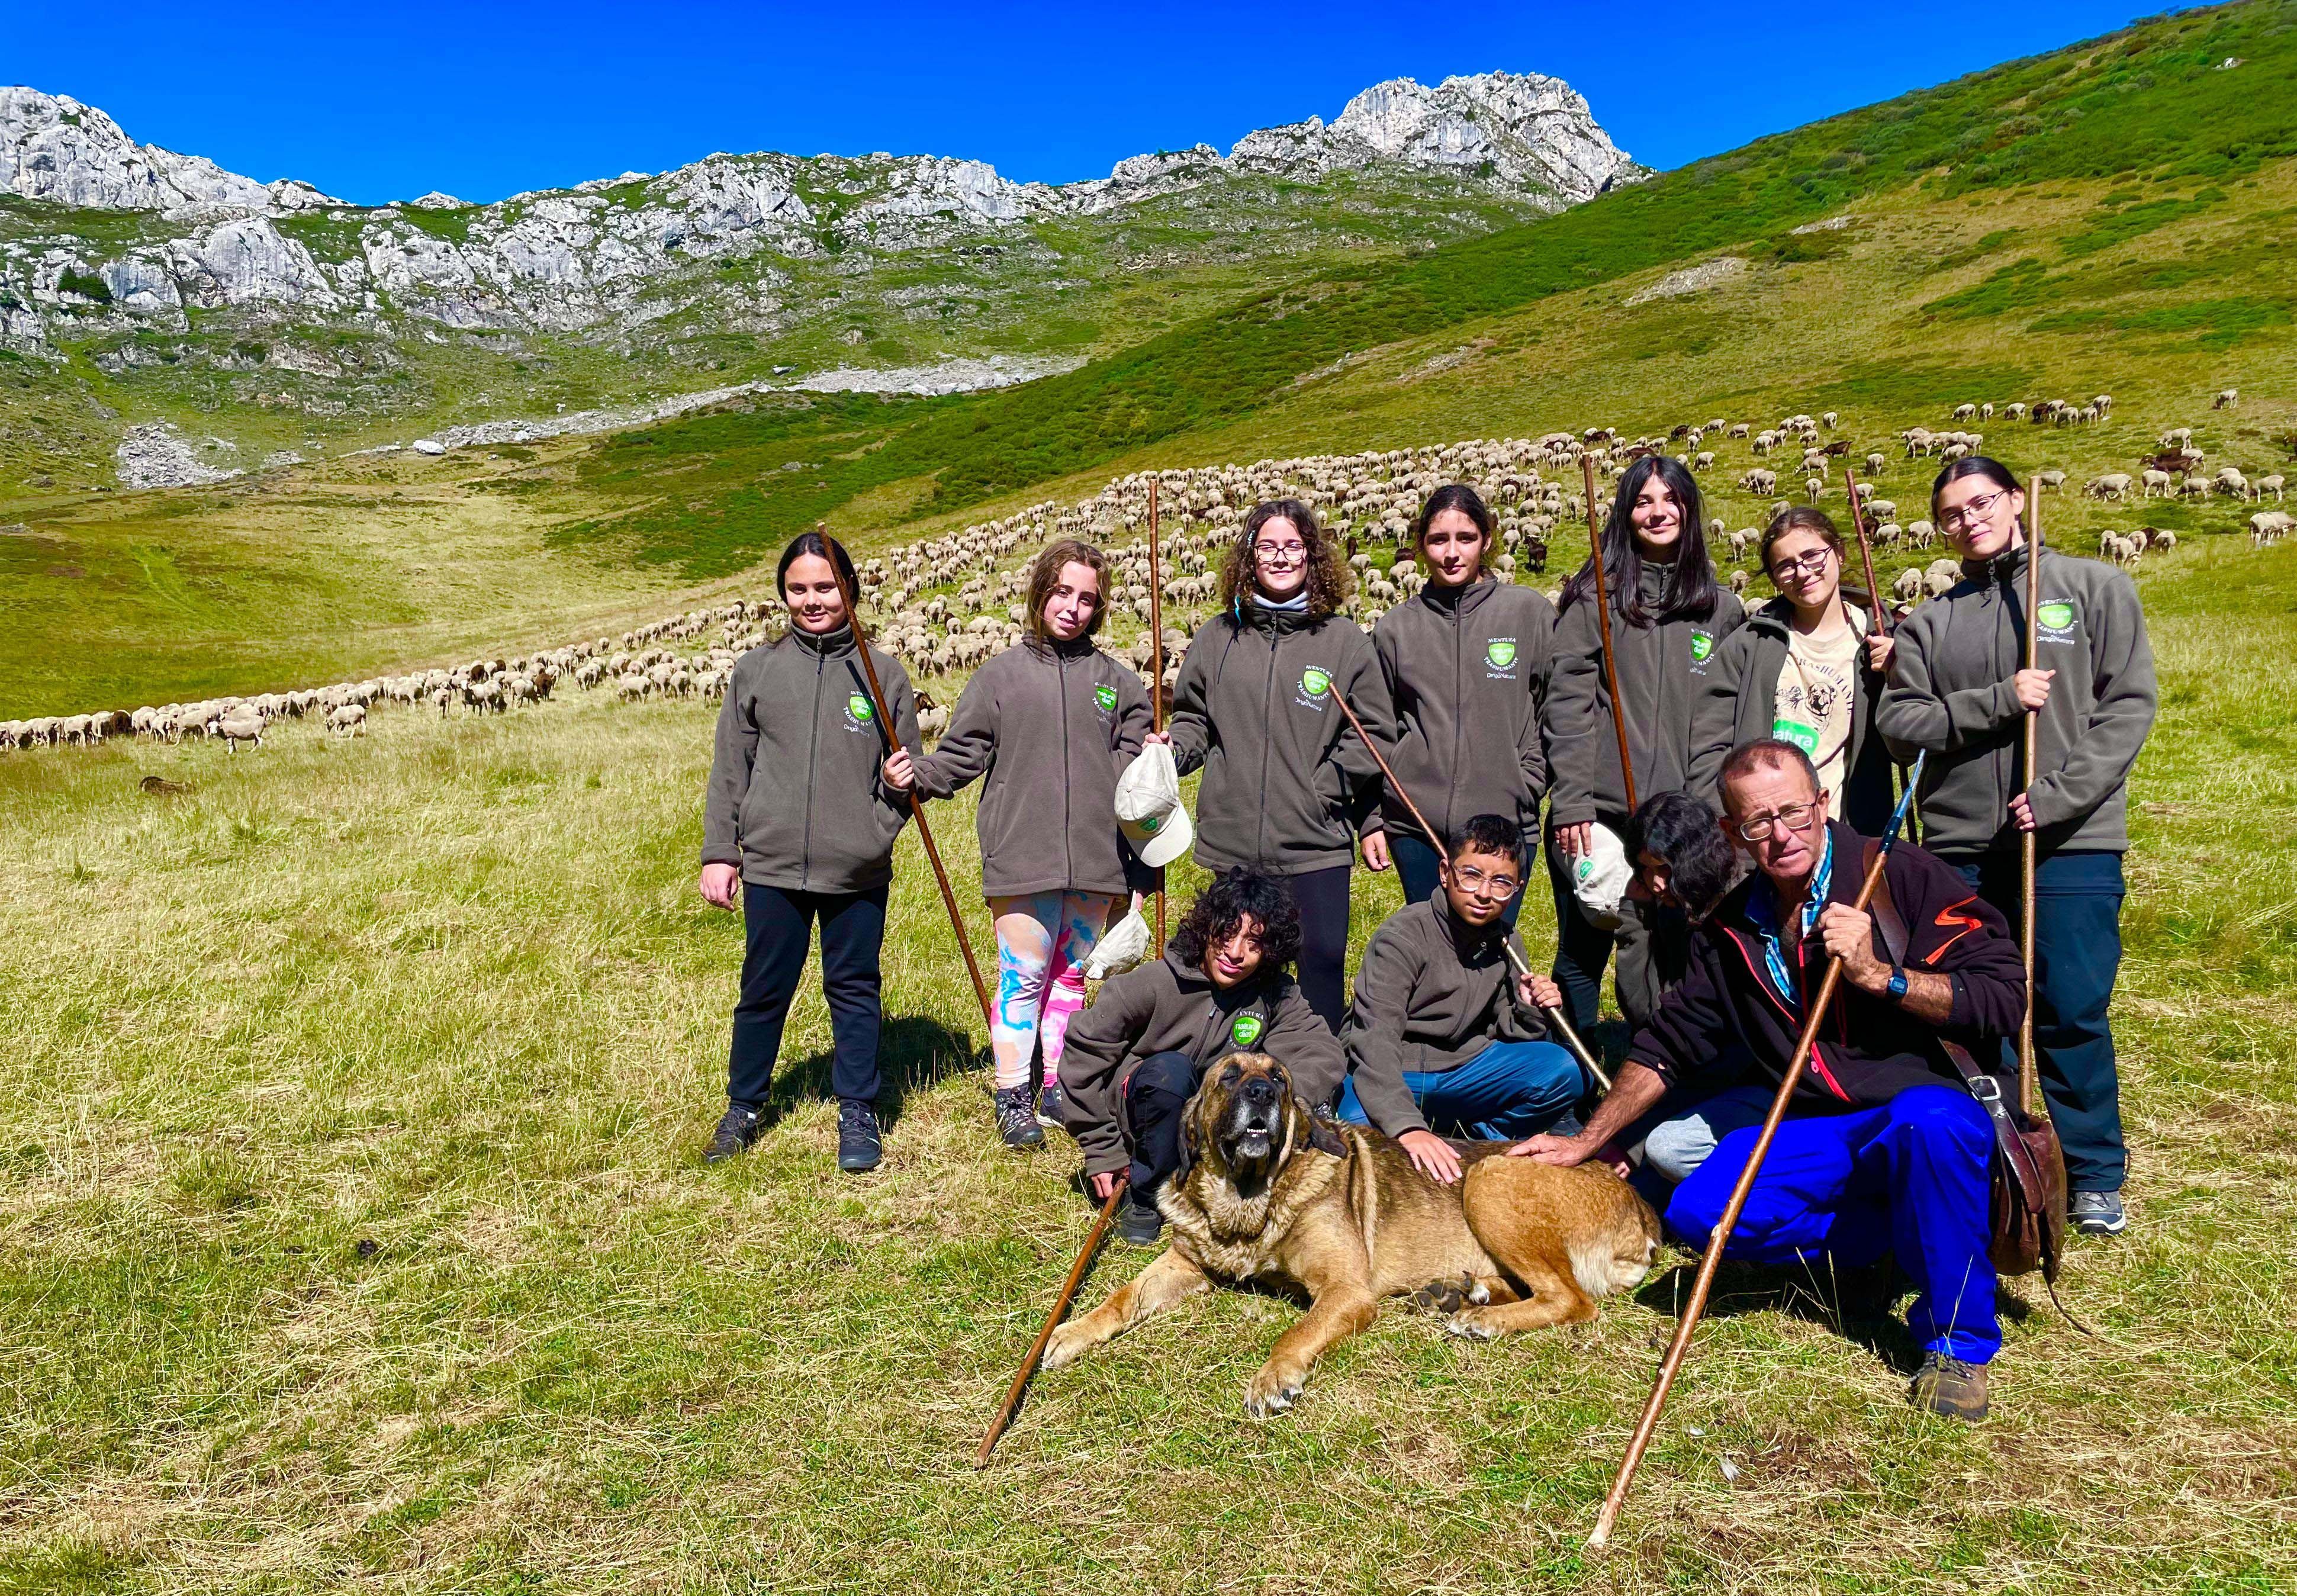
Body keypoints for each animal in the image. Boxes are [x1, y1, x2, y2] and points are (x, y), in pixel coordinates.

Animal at [1047, 1056, 1672, 1414]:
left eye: (1279, 1079)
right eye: (1228, 1077)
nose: (1261, 1094)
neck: (1250, 1200)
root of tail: (1641, 1206)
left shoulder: (1346, 1292)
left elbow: (1296, 1333)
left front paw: (1274, 1377)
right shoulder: (1185, 1264)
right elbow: (1120, 1298)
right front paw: (1070, 1331)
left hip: (1492, 1178)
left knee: (1573, 1300)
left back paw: (1483, 1319)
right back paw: (1460, 1294)